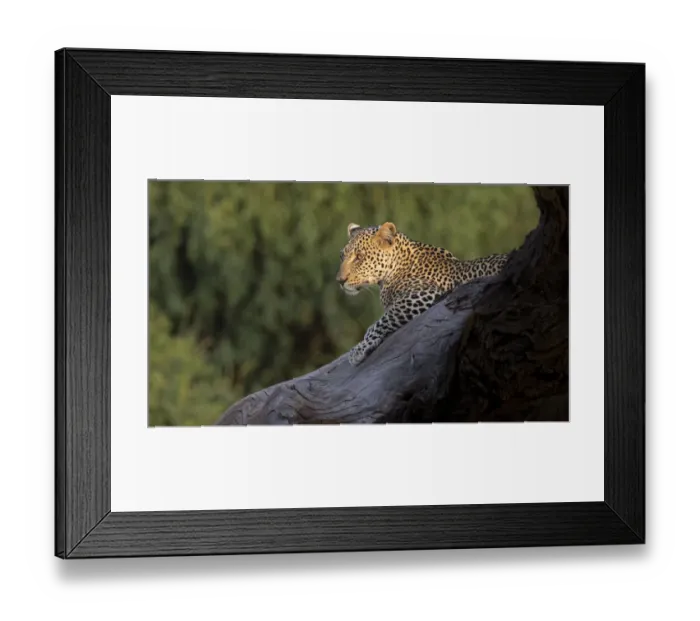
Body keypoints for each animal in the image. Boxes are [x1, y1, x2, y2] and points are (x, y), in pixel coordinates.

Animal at [336, 222, 509, 366]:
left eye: (359, 257)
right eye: (342, 256)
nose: (339, 280)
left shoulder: (426, 294)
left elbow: (382, 320)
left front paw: (359, 349)